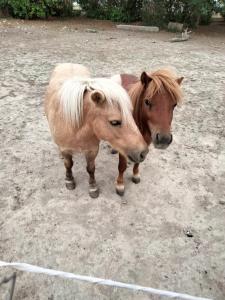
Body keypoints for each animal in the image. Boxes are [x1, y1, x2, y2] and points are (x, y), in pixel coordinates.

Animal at [44, 63, 149, 198]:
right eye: (114, 122)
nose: (144, 152)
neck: (74, 126)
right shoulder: (65, 149)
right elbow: (68, 165)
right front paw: (69, 180)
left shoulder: (92, 150)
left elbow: (90, 168)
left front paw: (93, 188)